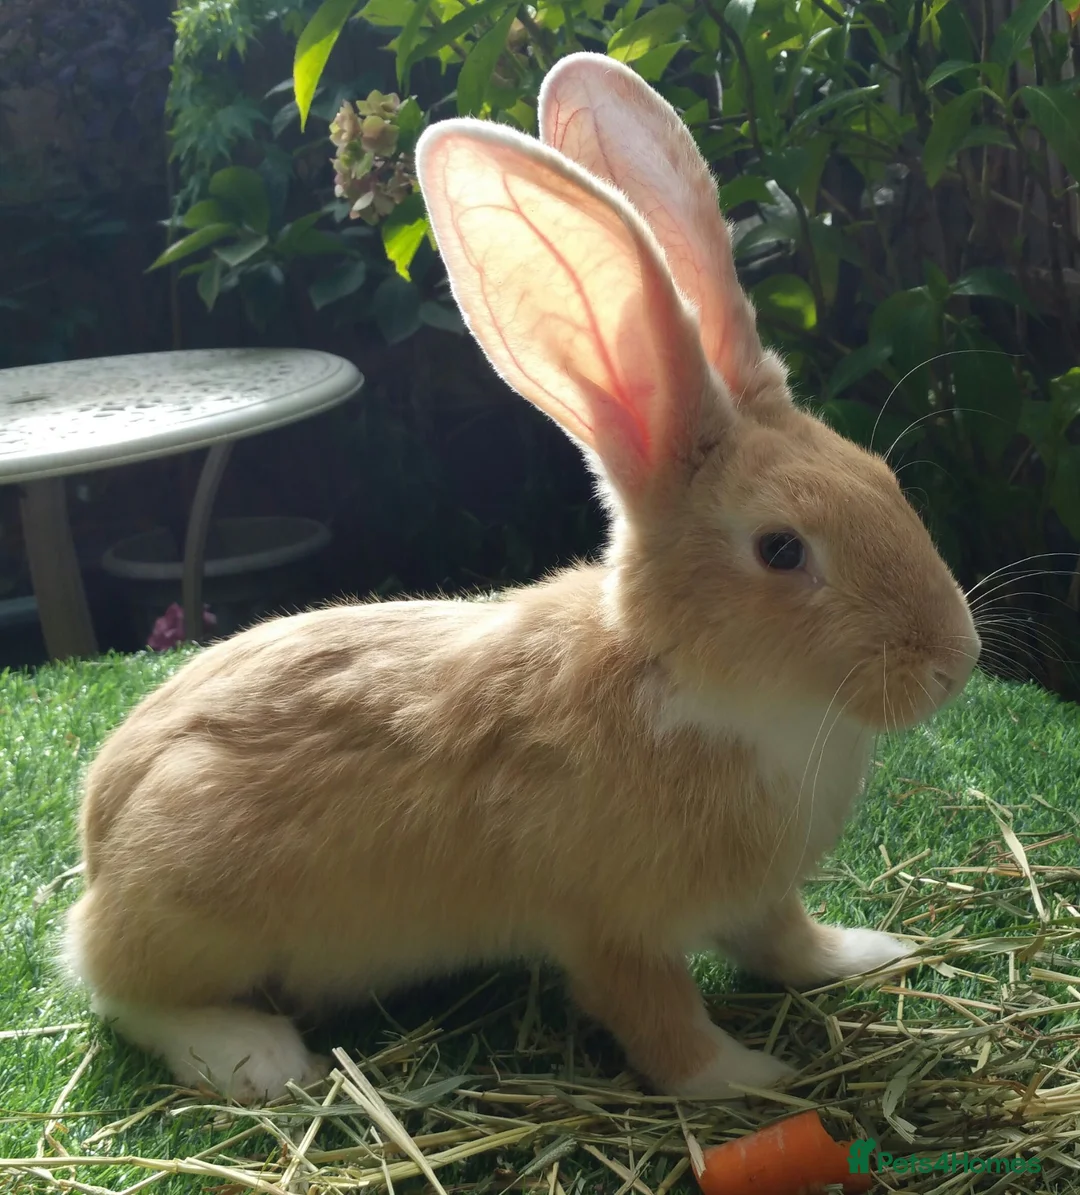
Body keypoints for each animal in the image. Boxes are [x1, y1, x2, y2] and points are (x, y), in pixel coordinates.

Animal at [64, 55, 980, 1106]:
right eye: (782, 550)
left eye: (883, 479)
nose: (955, 661)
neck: (691, 680)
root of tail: (96, 848)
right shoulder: (610, 927)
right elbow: (664, 1024)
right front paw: (754, 1074)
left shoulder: (761, 895)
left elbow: (787, 942)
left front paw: (866, 951)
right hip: (189, 912)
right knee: (124, 995)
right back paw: (255, 1055)